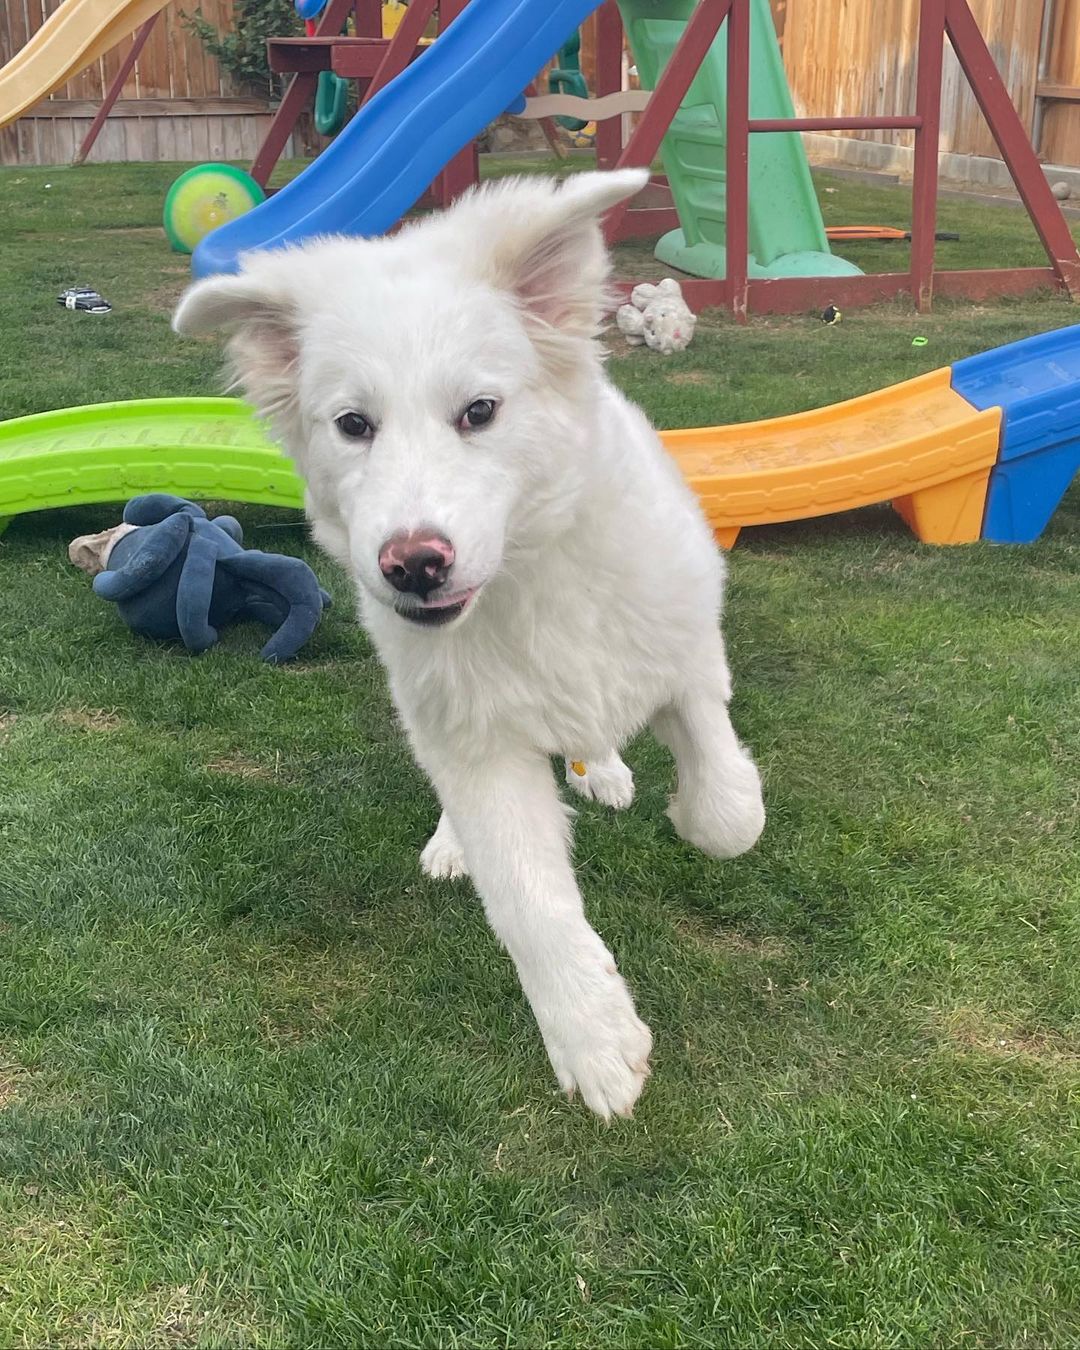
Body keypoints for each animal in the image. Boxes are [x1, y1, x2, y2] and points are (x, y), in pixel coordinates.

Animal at [172, 171, 761, 1117]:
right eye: (353, 425)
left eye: (479, 412)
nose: (412, 565)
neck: (526, 582)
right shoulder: (472, 742)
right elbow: (526, 900)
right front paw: (594, 1039)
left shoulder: (687, 651)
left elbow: (727, 812)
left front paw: (690, 806)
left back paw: (608, 769)